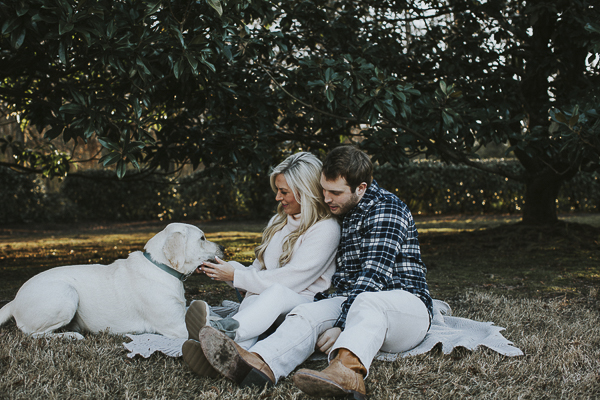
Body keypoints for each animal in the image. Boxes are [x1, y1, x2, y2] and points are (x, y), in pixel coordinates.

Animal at [0, 223, 224, 340]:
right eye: (202, 238)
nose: (223, 247)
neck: (161, 267)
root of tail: (14, 300)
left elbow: (210, 316)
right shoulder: (176, 326)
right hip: (66, 294)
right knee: (33, 334)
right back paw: (71, 336)